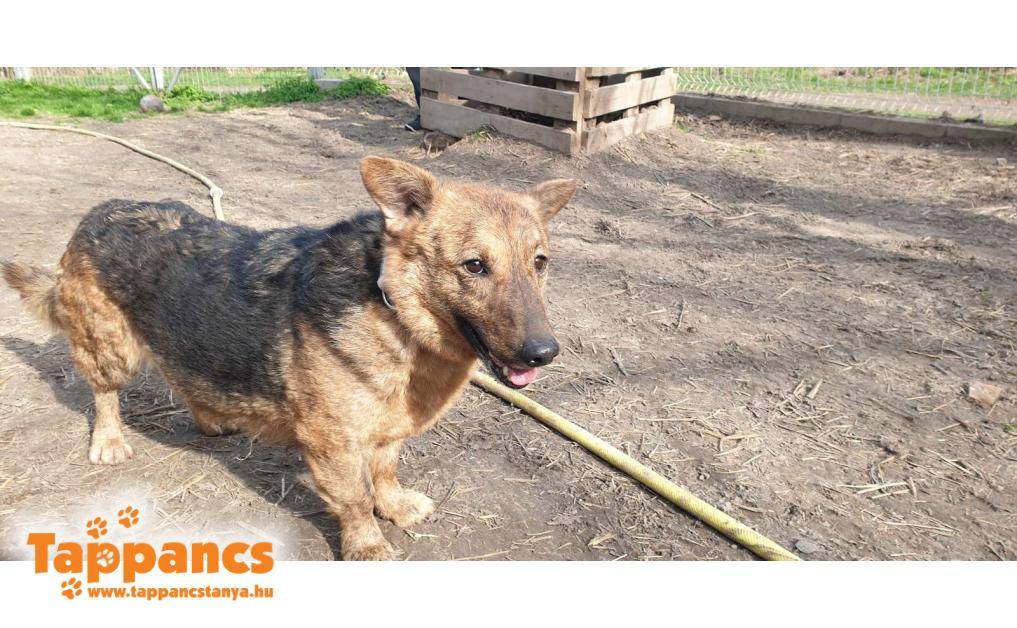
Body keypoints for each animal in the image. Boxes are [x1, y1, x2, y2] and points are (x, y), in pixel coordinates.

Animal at [2, 156, 578, 560]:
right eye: (474, 266)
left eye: (540, 263)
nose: (543, 354)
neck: (391, 306)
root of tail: (99, 210)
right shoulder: (333, 443)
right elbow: (354, 498)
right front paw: (367, 545)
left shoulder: (386, 428)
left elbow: (385, 472)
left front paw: (393, 506)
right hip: (112, 350)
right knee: (104, 393)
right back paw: (109, 441)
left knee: (186, 376)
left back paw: (211, 419)